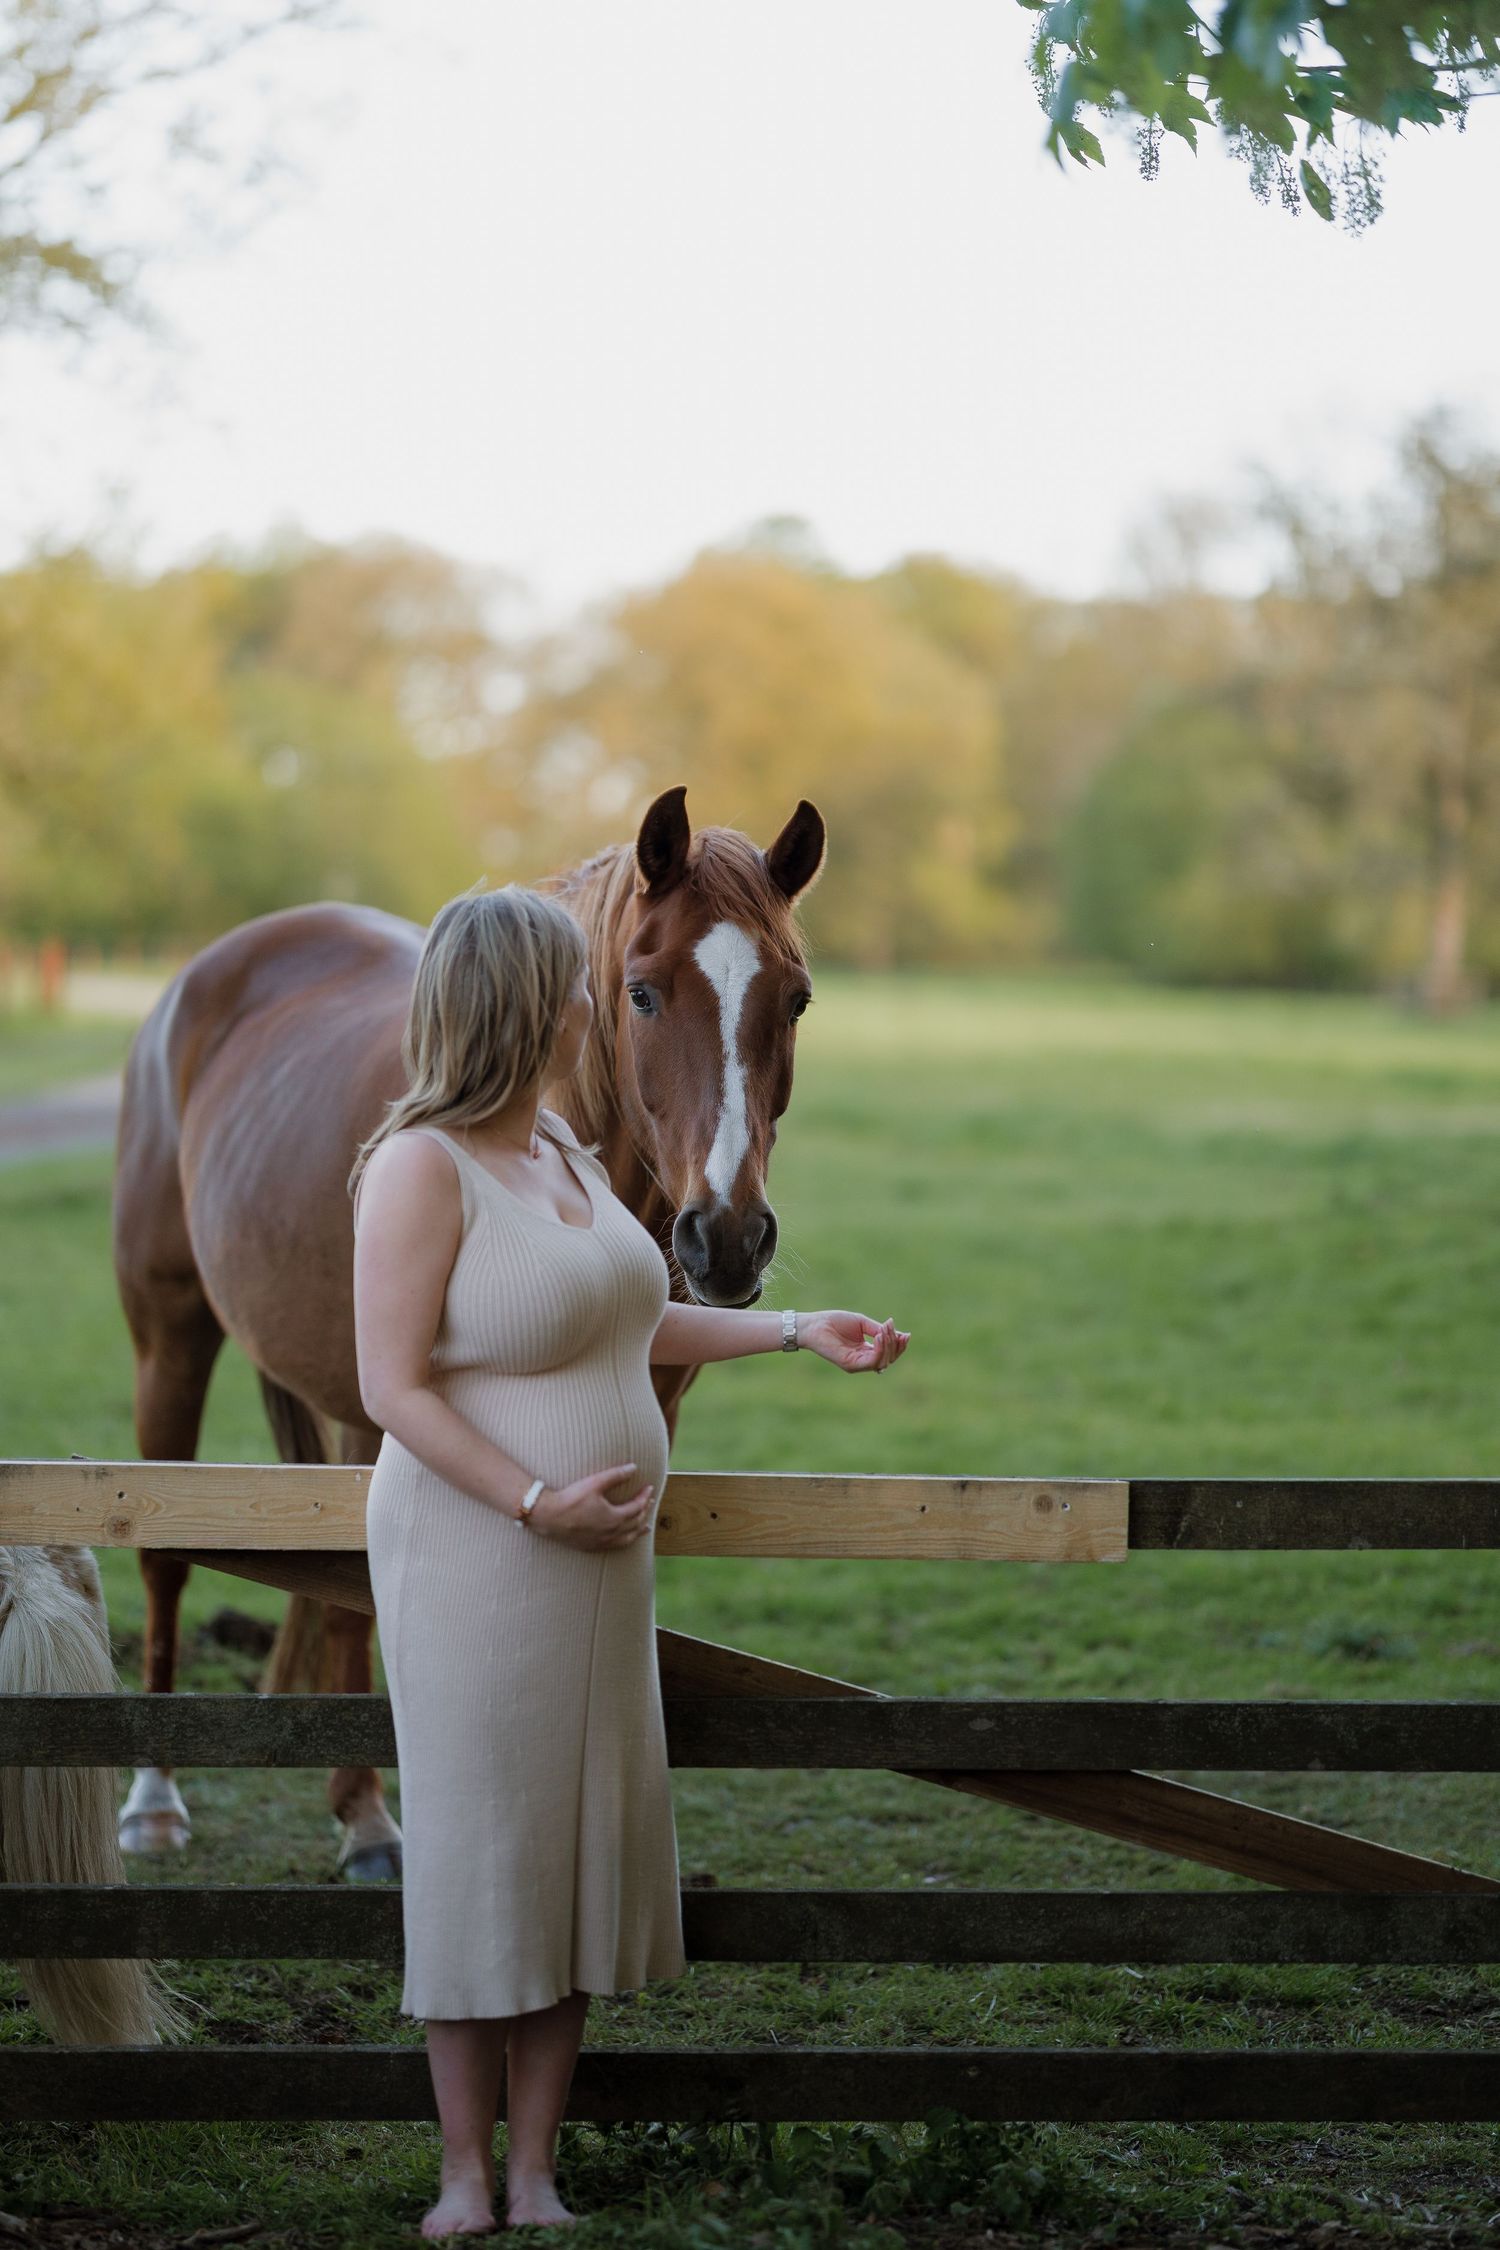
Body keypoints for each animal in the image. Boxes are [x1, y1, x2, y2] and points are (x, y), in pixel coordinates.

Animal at [111, 783, 826, 1876]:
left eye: (794, 1000)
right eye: (643, 993)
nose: (731, 1237)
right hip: (172, 1341)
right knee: (165, 1554)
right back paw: (166, 1797)